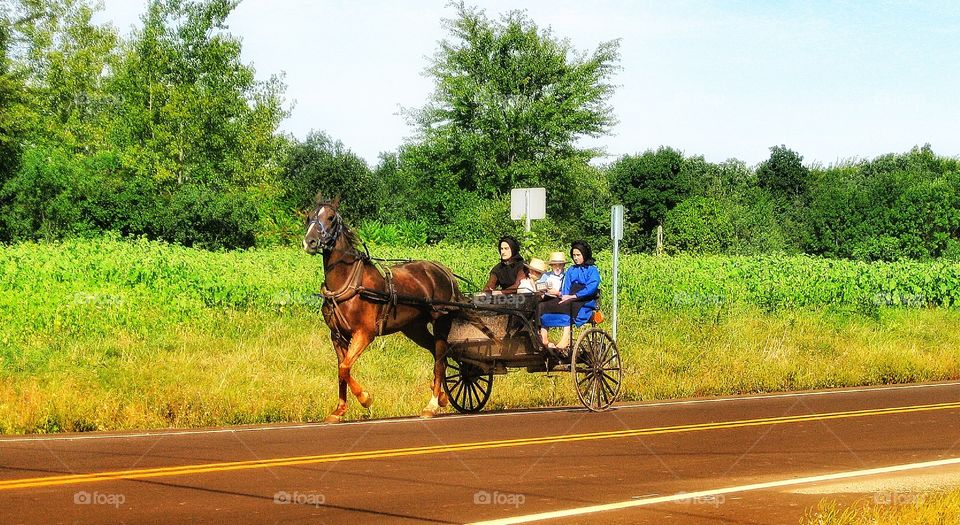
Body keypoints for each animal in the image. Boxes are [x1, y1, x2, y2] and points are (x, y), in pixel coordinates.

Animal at [302, 194, 464, 420]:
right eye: (309, 216)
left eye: (331, 218)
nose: (310, 241)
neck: (349, 283)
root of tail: (443, 271)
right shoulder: (337, 336)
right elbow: (341, 370)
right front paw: (339, 410)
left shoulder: (364, 333)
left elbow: (344, 367)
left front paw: (365, 398)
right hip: (414, 328)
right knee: (435, 352)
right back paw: (440, 395)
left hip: (441, 322)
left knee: (440, 359)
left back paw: (432, 405)